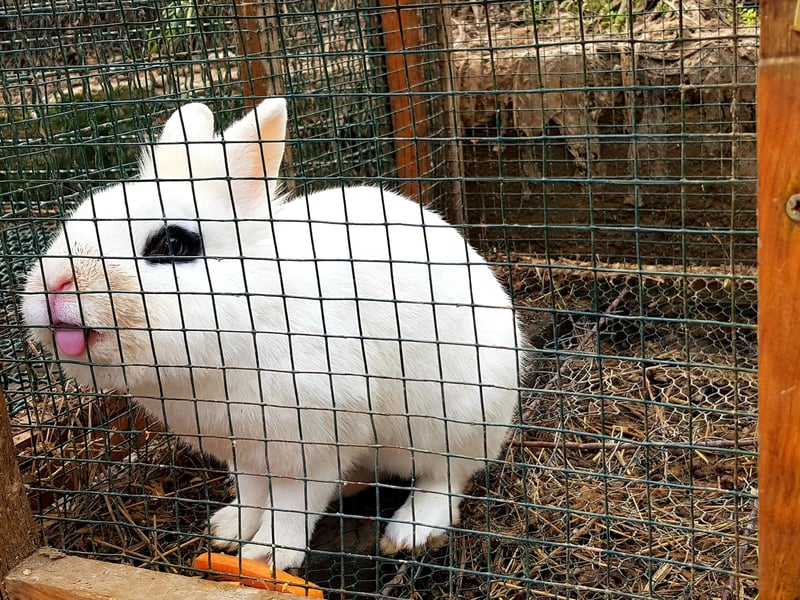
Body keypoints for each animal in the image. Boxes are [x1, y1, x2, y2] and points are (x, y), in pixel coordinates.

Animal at [21, 98, 521, 570]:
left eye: (173, 244)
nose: (54, 285)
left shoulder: (310, 447)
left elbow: (292, 506)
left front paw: (265, 555)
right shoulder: (244, 452)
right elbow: (253, 493)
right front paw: (228, 529)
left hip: (456, 421)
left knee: (446, 478)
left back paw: (411, 531)